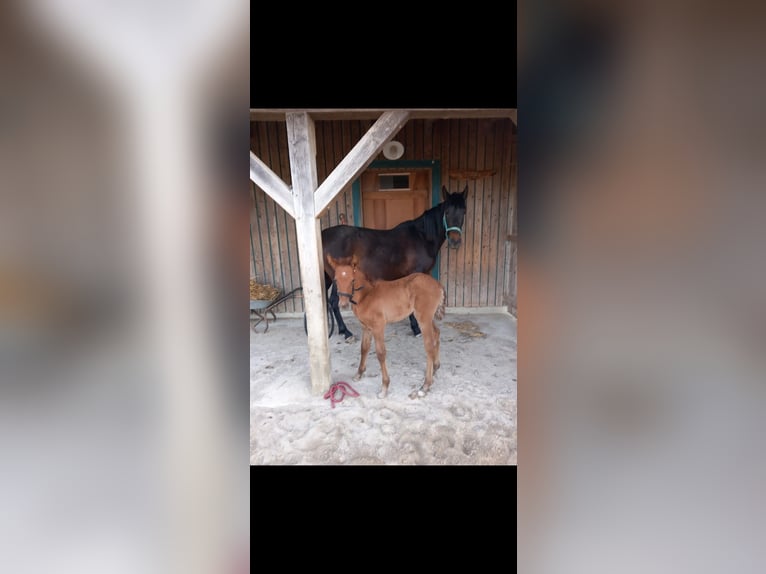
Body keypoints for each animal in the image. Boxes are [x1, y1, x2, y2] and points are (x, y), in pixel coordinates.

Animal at [328, 256, 448, 400]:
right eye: (335, 280)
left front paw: (384, 387)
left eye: (352, 279)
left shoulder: (378, 327)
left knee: (429, 346)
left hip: (423, 318)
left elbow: (380, 353)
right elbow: (364, 348)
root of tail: (438, 285)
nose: (344, 304)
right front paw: (359, 373)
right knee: (437, 333)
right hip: (427, 318)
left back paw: (425, 386)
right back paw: (435, 367)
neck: (366, 295)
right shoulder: (366, 327)